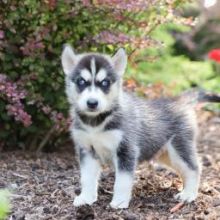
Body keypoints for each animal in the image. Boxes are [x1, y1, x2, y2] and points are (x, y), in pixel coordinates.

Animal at [60, 44, 220, 208]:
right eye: (81, 81)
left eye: (105, 83)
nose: (92, 103)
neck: (96, 122)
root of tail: (179, 100)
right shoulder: (87, 151)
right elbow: (87, 178)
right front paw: (86, 198)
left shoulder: (126, 150)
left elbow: (122, 181)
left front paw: (119, 202)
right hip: (165, 154)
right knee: (185, 170)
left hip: (178, 148)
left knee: (194, 168)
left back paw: (189, 194)